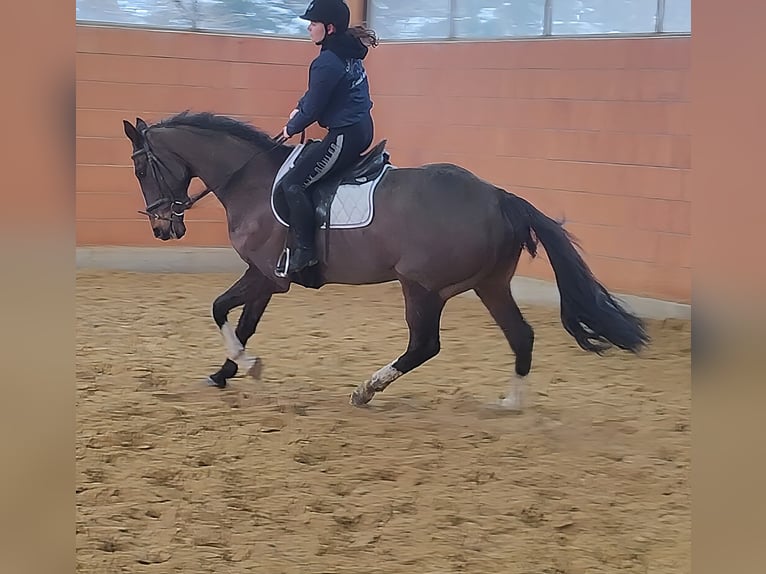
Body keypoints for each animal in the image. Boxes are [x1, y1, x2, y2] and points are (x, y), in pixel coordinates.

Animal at [122, 111, 649, 410]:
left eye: (141, 166)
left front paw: (242, 365)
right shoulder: (265, 277)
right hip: (490, 284)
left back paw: (365, 391)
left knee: (424, 345)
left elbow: (220, 309)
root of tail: (500, 197)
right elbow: (243, 321)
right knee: (521, 335)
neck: (250, 180)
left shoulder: (268, 276)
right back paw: (511, 404)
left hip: (421, 286)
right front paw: (227, 373)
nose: (162, 228)